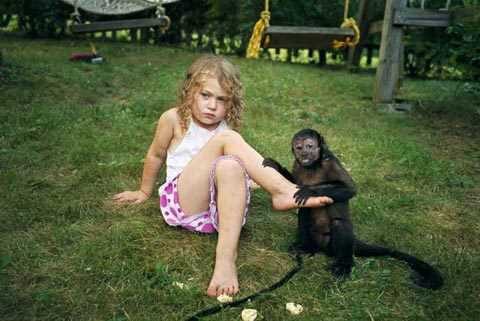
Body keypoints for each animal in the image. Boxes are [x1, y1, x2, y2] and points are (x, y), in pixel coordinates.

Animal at [262, 128, 442, 290]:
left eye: (310, 146)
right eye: (299, 148)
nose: (305, 154)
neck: (312, 166)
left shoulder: (330, 161)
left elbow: (350, 189)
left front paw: (311, 191)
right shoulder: (297, 165)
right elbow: (292, 183)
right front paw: (277, 167)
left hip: (333, 245)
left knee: (339, 224)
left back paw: (344, 265)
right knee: (304, 213)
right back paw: (307, 248)